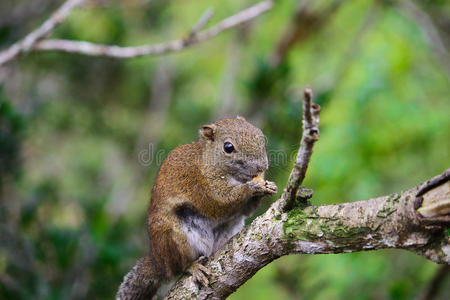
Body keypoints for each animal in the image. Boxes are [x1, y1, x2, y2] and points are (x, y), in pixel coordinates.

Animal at [116, 116, 276, 298]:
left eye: (261, 136)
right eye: (228, 147)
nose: (261, 167)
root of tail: (159, 262)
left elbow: (246, 210)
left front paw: (268, 187)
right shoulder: (198, 184)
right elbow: (220, 202)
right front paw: (252, 188)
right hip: (174, 238)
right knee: (179, 266)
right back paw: (192, 267)